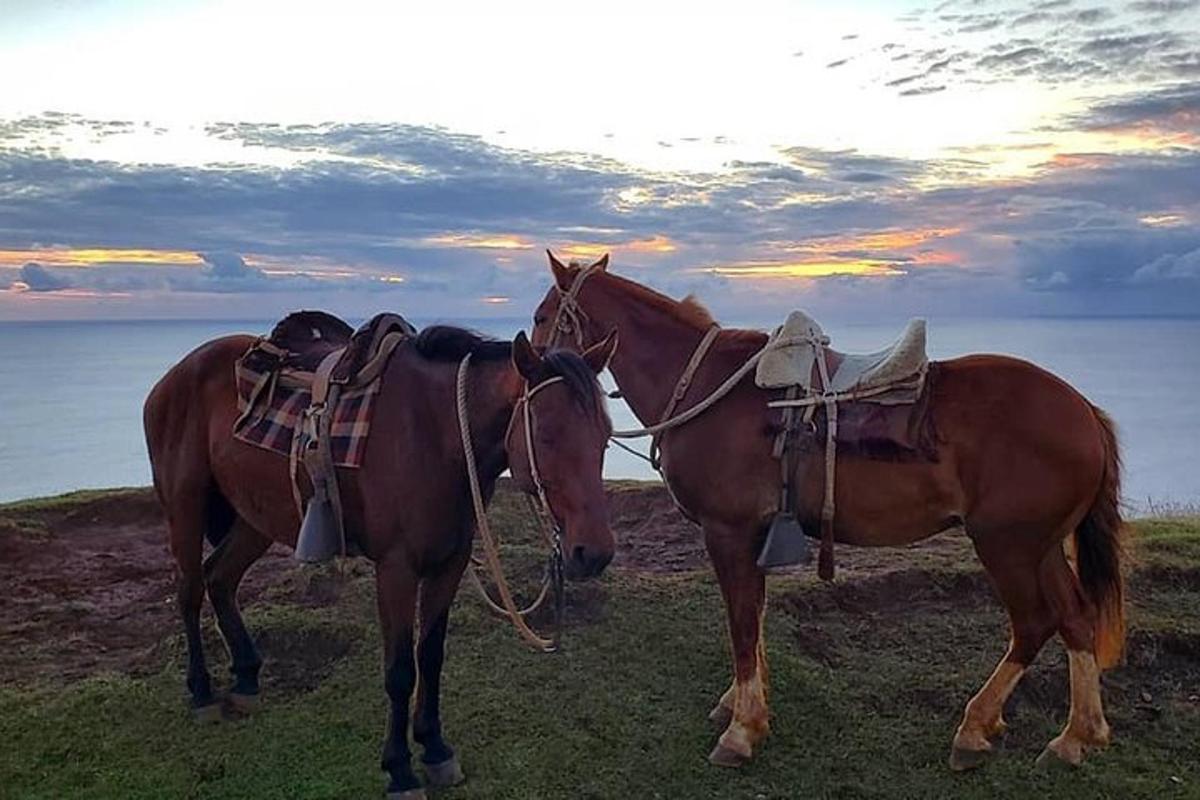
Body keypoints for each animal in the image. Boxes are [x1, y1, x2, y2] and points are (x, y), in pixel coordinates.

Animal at [142, 316, 619, 796]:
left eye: (605, 437)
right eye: (546, 434)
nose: (593, 553)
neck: (436, 434)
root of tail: (172, 378)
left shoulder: (450, 563)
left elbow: (431, 656)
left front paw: (436, 748)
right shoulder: (396, 568)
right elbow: (400, 670)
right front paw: (400, 770)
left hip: (254, 517)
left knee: (220, 578)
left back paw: (245, 677)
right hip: (185, 506)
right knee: (190, 591)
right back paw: (202, 692)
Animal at [532, 253, 1123, 772]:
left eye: (541, 317)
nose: (526, 376)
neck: (704, 388)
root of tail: (1083, 411)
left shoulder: (729, 533)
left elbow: (741, 623)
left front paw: (741, 731)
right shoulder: (755, 535)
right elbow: (755, 617)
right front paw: (742, 707)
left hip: (1007, 546)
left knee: (1034, 622)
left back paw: (976, 727)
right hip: (1041, 547)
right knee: (1075, 616)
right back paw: (1076, 736)